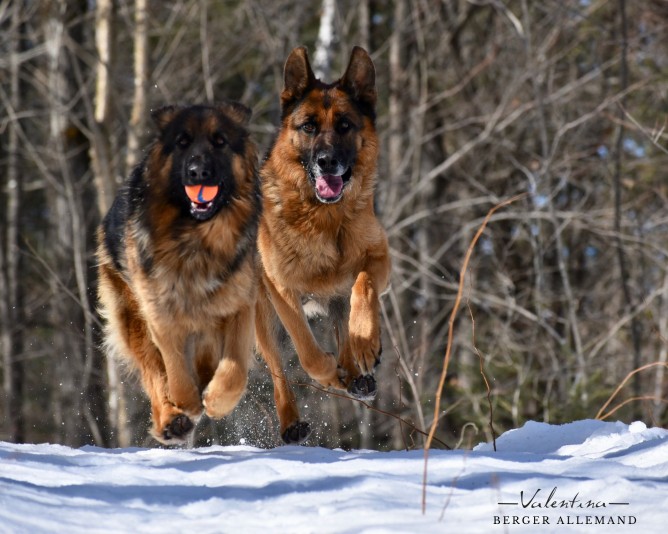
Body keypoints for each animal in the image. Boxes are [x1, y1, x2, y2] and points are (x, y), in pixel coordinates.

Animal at [96, 102, 260, 446]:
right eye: (182, 142)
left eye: (220, 141)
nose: (198, 172)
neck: (196, 238)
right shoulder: (160, 312)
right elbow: (174, 370)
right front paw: (187, 403)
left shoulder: (239, 306)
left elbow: (234, 369)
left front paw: (216, 399)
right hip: (133, 317)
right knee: (155, 371)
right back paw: (173, 420)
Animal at [258, 47, 392, 444]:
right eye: (308, 127)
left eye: (345, 125)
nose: (327, 161)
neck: (324, 217)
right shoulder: (282, 291)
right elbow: (309, 355)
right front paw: (333, 373)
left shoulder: (379, 258)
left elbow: (363, 285)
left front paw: (365, 344)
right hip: (262, 316)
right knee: (277, 368)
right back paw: (293, 420)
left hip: (334, 300)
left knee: (345, 319)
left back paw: (360, 367)